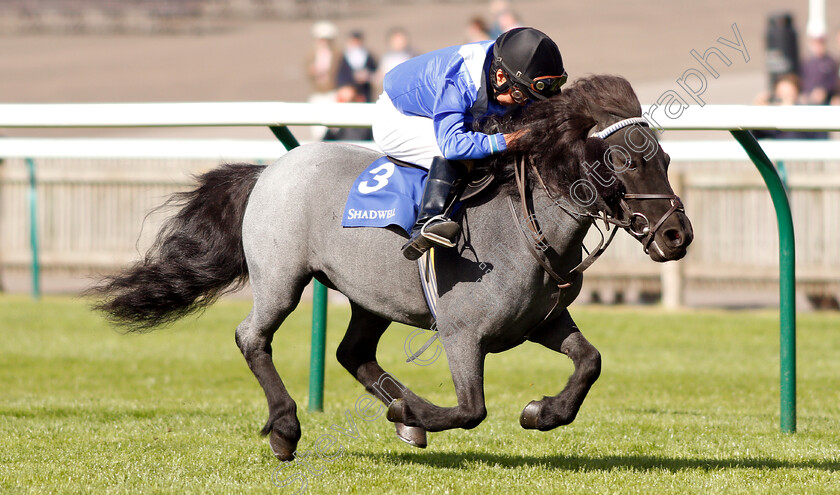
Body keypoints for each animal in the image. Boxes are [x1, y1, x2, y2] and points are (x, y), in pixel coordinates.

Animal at [93, 73, 696, 462]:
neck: (528, 222)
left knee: (351, 352)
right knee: (252, 337)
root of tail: (270, 170)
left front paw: (541, 412)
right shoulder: (461, 332)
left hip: (371, 297)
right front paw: (416, 412)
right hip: (282, 278)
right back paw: (288, 427)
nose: (677, 235)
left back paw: (400, 414)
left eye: (664, 158)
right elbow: (471, 409)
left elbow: (590, 362)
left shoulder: (541, 321)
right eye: (625, 161)